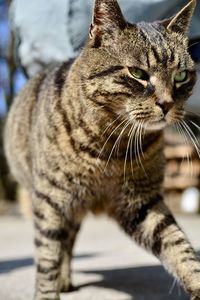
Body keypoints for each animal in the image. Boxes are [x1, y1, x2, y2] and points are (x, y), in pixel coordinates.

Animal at [4, 0, 200, 298]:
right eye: (138, 73)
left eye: (181, 76)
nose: (167, 103)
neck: (111, 147)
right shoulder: (51, 201)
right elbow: (48, 256)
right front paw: (47, 292)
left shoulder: (142, 201)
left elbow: (178, 245)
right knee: (62, 243)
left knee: (69, 240)